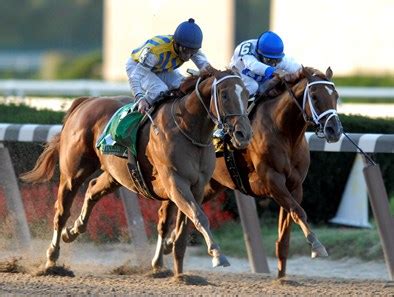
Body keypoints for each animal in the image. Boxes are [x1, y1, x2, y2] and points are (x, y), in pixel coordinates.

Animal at [20, 67, 252, 276]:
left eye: (246, 94)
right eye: (224, 95)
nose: (244, 134)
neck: (188, 129)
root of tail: (86, 101)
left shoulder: (196, 186)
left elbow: (183, 227)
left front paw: (179, 273)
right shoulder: (175, 182)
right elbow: (198, 216)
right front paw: (217, 255)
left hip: (114, 175)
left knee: (93, 190)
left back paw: (73, 230)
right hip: (73, 173)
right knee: (61, 210)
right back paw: (51, 259)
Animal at [152, 66, 344, 276]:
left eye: (336, 95)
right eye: (315, 96)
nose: (334, 130)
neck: (285, 133)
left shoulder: (295, 186)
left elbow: (285, 236)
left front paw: (282, 277)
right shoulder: (273, 181)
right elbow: (298, 211)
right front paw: (317, 246)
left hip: (212, 186)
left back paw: (170, 243)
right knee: (168, 211)